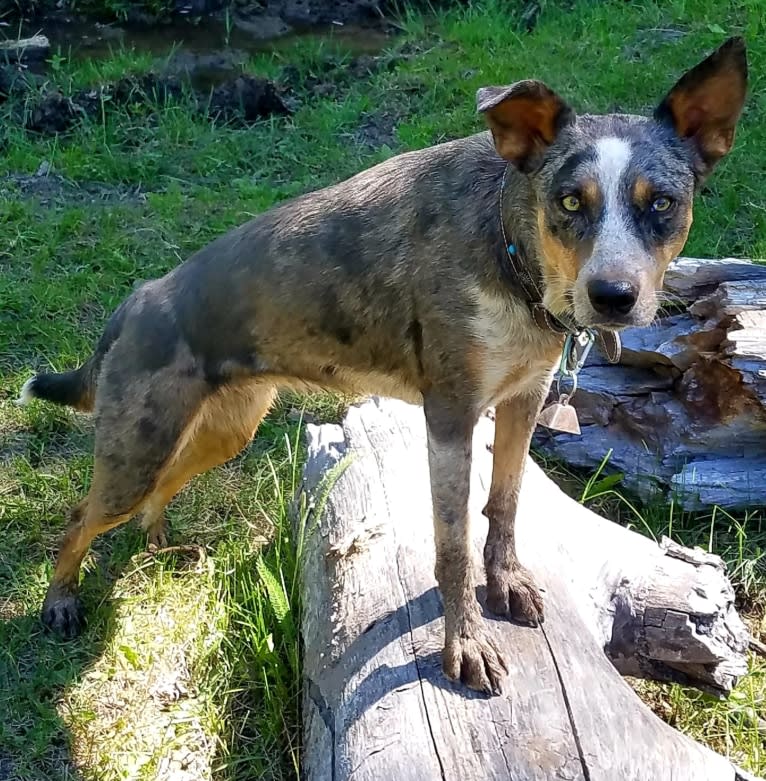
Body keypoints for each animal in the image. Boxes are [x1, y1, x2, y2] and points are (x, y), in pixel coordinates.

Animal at [18, 38, 752, 696]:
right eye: (571, 201)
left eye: (661, 203)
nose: (613, 297)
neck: (508, 249)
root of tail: (138, 298)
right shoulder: (451, 417)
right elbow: (453, 549)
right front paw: (464, 646)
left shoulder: (522, 401)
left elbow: (505, 505)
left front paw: (506, 583)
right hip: (138, 449)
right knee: (78, 516)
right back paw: (59, 601)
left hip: (222, 430)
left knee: (156, 494)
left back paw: (160, 541)